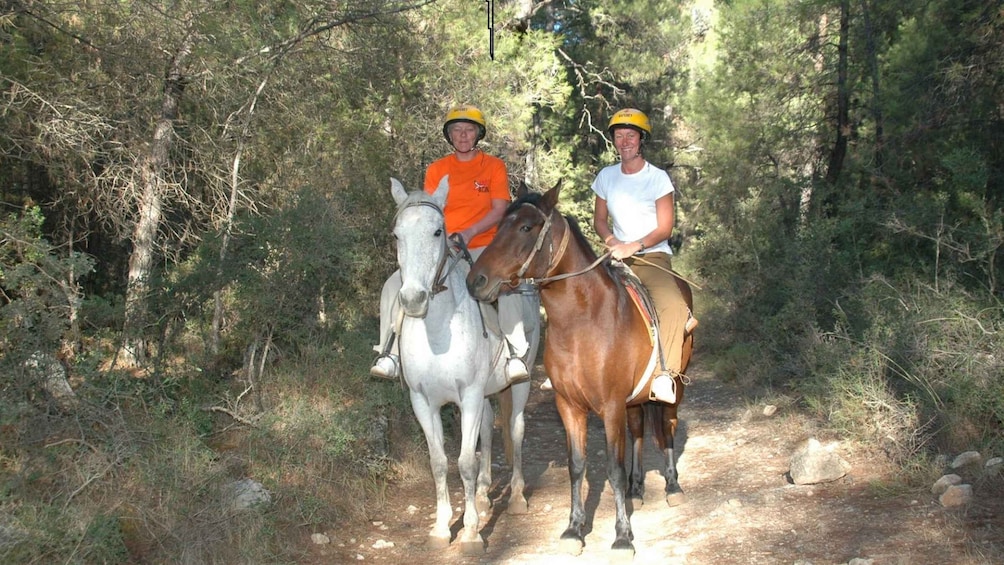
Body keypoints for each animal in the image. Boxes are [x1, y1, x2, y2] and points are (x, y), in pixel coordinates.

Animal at [385, 177, 538, 557]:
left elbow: (465, 462)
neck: (438, 332)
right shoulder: (423, 401)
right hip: (482, 395)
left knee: (515, 429)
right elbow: (439, 462)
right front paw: (441, 529)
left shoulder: (467, 396)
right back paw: (483, 496)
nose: (413, 299)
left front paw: (470, 533)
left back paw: (515, 498)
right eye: (397, 235)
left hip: (520, 382)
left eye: (438, 231)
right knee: (487, 428)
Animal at [465, 182, 694, 557]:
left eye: (526, 227)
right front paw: (573, 530)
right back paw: (637, 490)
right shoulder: (569, 405)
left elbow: (613, 468)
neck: (583, 321)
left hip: (675, 388)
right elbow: (577, 466)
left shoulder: (611, 406)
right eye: (498, 227)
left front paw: (622, 537)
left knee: (668, 426)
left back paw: (672, 487)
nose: (476, 281)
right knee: (639, 430)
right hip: (634, 400)